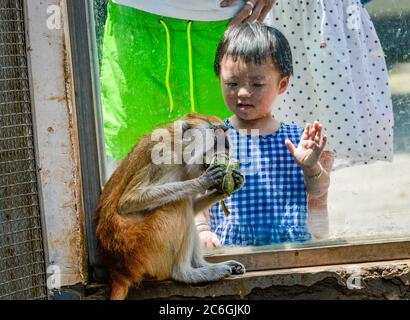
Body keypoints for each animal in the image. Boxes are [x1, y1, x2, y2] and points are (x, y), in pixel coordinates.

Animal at [94, 112, 245, 300]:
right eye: (215, 140)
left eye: (226, 143)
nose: (224, 152)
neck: (179, 148)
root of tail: (119, 272)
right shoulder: (163, 157)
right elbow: (128, 202)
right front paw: (204, 181)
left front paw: (235, 180)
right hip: (146, 246)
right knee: (180, 203)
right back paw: (187, 273)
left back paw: (202, 265)